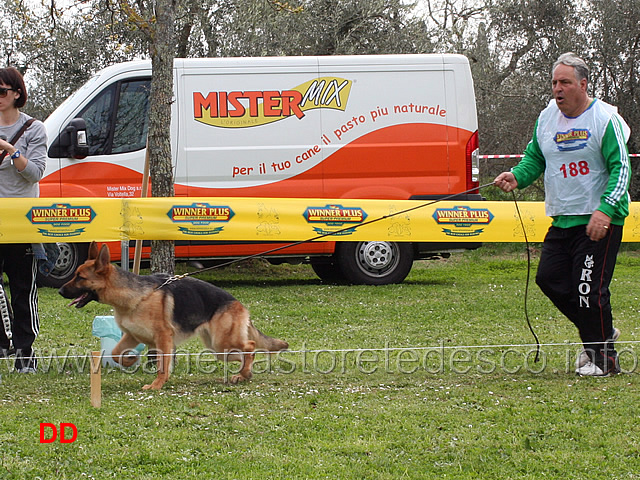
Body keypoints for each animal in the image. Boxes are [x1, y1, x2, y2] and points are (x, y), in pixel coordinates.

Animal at [58, 244, 288, 390]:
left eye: (80, 277)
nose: (59, 291)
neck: (135, 296)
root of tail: (238, 303)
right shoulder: (131, 336)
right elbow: (115, 353)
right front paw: (130, 360)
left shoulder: (163, 339)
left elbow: (162, 366)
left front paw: (157, 385)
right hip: (218, 348)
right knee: (245, 353)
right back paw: (243, 374)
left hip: (222, 342)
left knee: (250, 346)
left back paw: (245, 373)